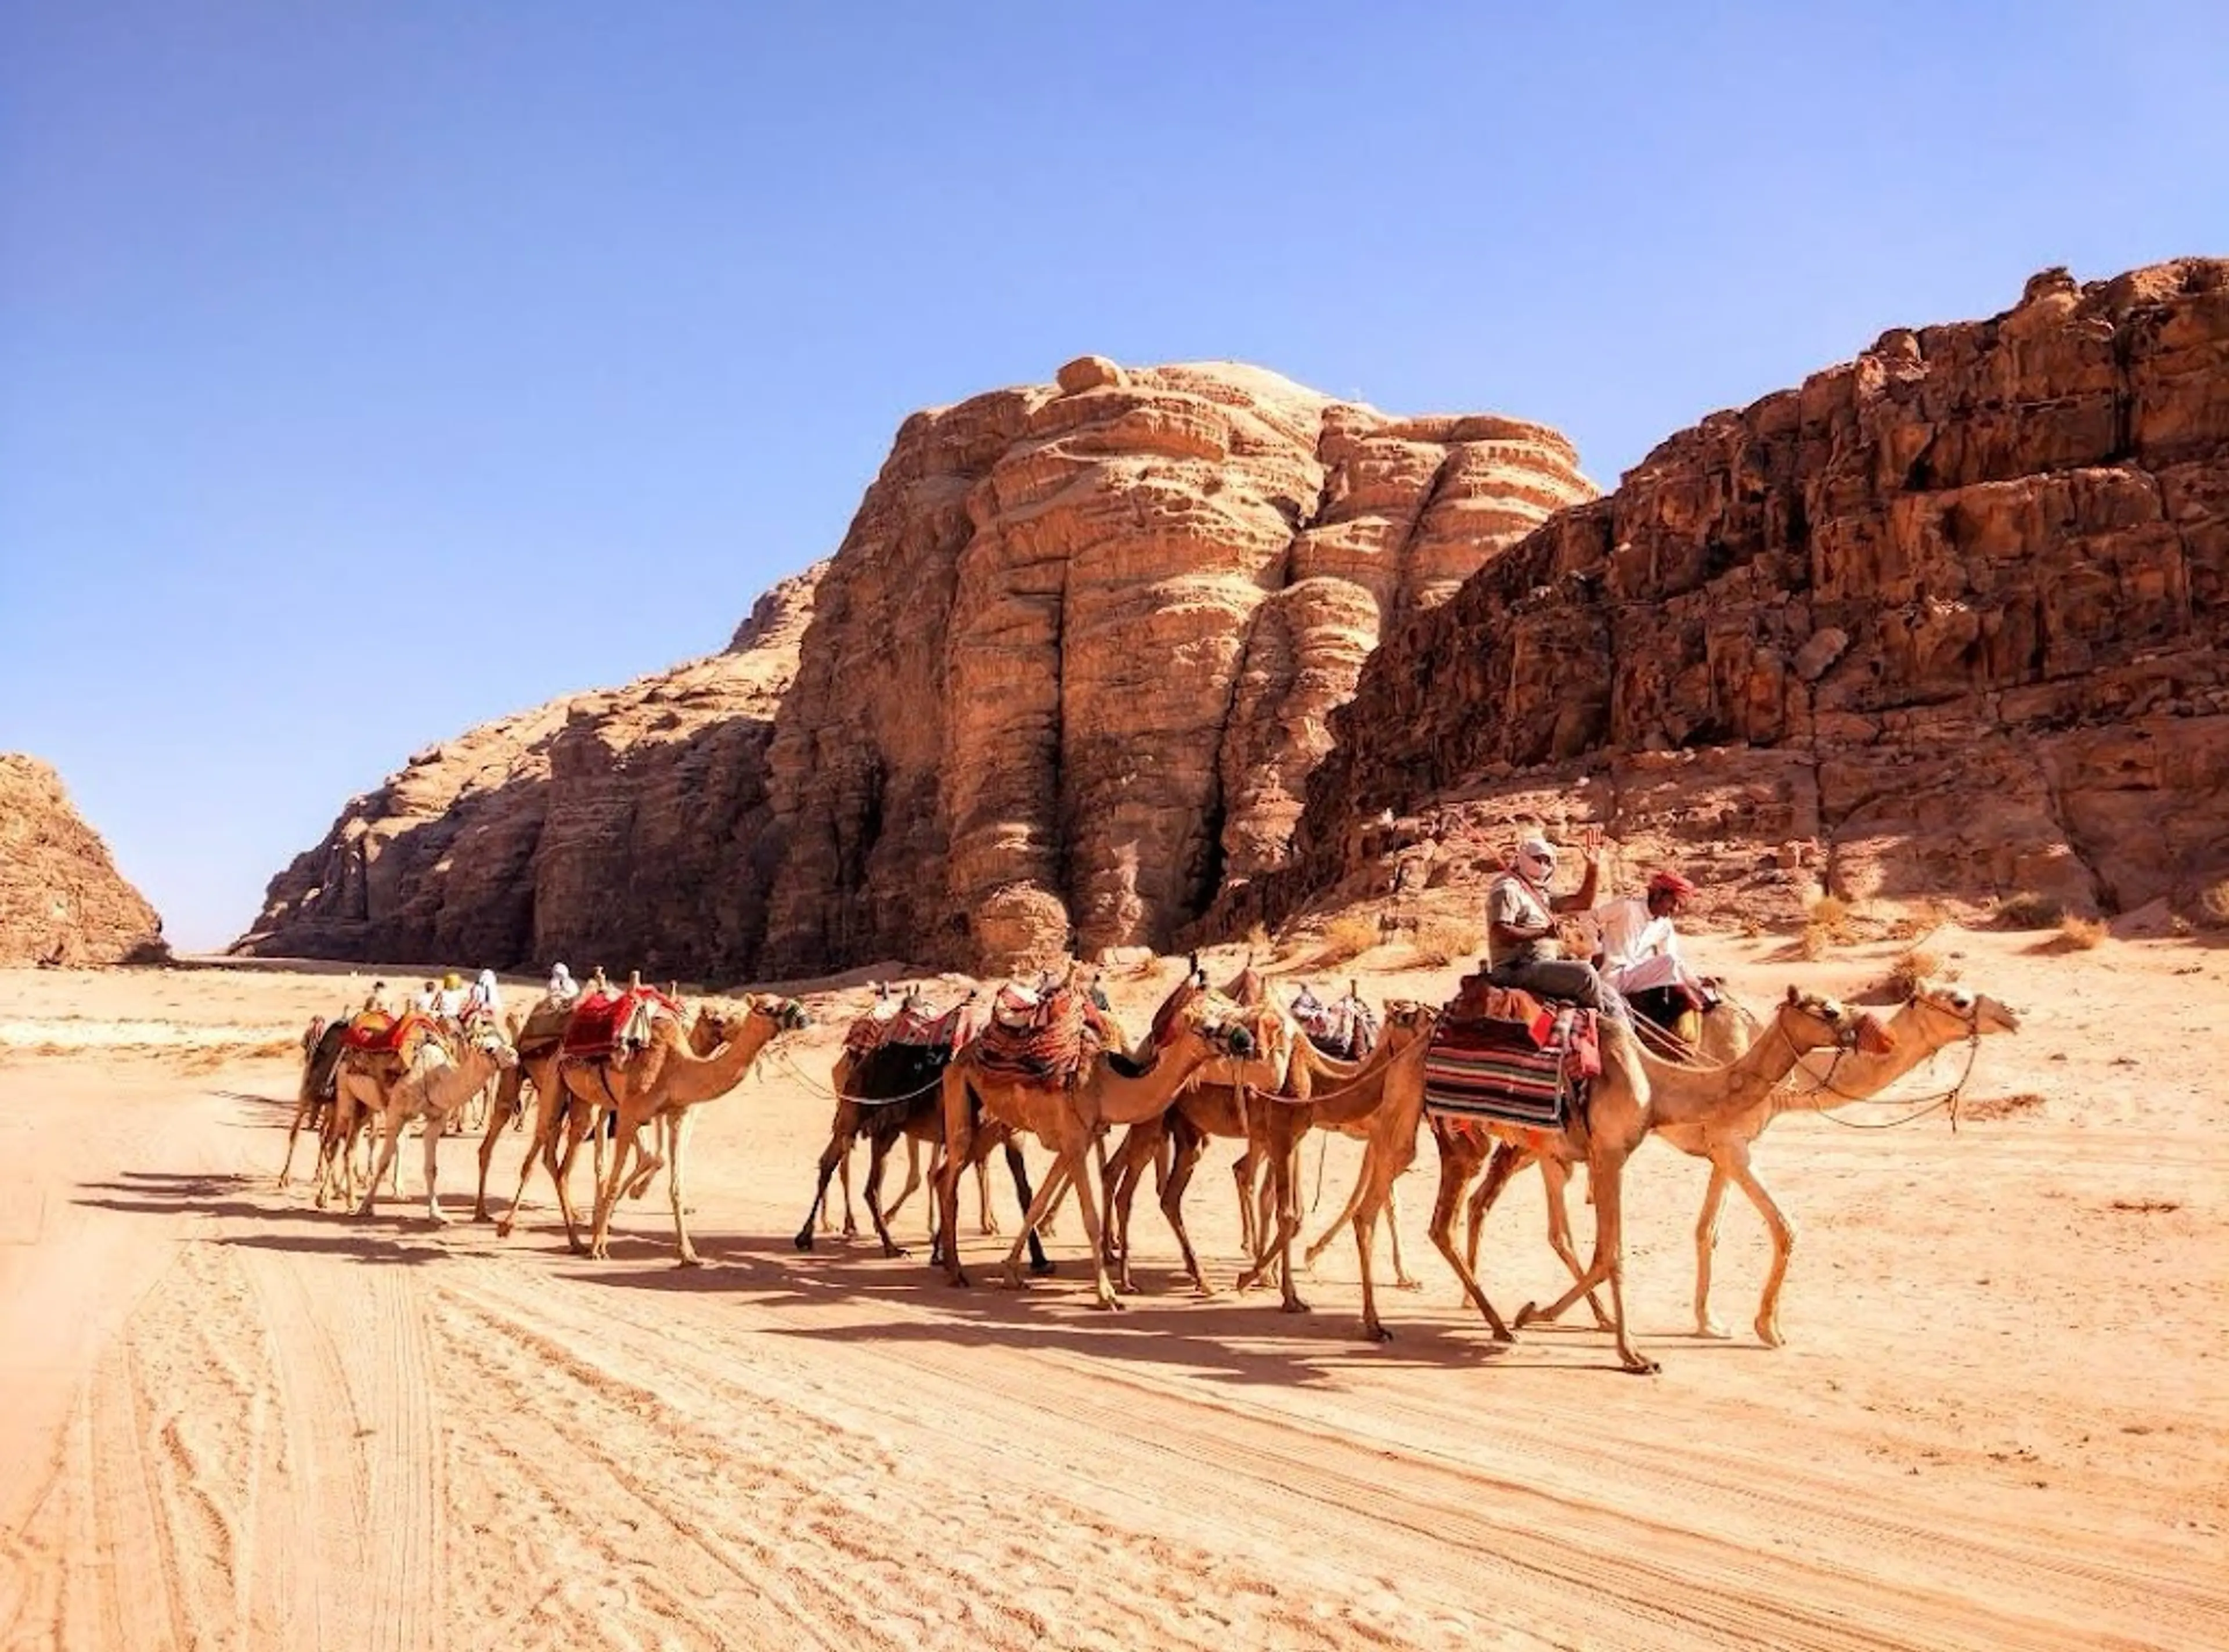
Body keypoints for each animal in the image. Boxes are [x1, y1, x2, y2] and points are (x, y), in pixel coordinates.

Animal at [356, 1012, 521, 1221]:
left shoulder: (435, 1118)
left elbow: (431, 1168)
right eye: (489, 1048)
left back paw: (398, 1192)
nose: (514, 1055)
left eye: (504, 1040)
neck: (431, 1075)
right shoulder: (396, 1113)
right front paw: (365, 1207)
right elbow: (383, 1161)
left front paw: (437, 1214)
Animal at [584, 994, 811, 1266]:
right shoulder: (635, 1112)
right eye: (767, 1008)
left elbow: (671, 1177)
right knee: (593, 1153)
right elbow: (646, 1162)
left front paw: (688, 1253)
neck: (677, 1067)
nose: (803, 1016)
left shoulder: (678, 1113)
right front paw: (601, 1239)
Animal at [936, 985, 1266, 1311]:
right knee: (952, 1177)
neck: (1103, 1084)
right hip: (960, 1096)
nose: (1246, 1040)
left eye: (1230, 1011)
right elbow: (1090, 1218)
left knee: (944, 1174)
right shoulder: (1074, 1142)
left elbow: (1038, 1204)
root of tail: (960, 1054)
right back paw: (955, 1271)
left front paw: (1011, 1273)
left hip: (993, 1120)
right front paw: (1106, 1294)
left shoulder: (1073, 1143)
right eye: (1209, 1027)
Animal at [1337, 985, 1881, 1373]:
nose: (1867, 1030)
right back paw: (1381, 1324)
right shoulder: (1609, 1154)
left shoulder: (1603, 1157)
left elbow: (1602, 1253)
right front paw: (1631, 1354)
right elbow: (1612, 1254)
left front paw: (1538, 1314)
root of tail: (1415, 1037)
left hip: (1463, 1136)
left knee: (1434, 1222)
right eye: (1828, 1011)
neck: (1658, 1084)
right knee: (1382, 1205)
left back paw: (1492, 1325)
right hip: (1415, 1108)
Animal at [1462, 980, 2024, 1337]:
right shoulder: (1731, 1145)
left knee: (1503, 1206)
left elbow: (1706, 1233)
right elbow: (1783, 1227)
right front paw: (1767, 1328)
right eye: (1960, 998)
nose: (2013, 1014)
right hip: (1528, 1140)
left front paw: (1710, 1322)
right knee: (1495, 1203)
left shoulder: (1724, 1151)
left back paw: (1496, 1302)